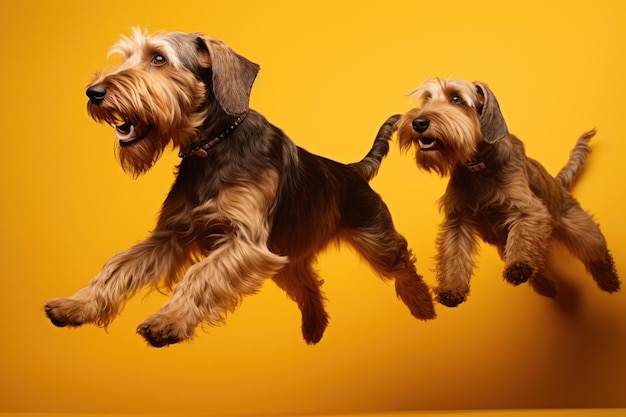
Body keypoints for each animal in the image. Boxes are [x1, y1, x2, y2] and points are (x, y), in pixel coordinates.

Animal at [44, 29, 434, 346]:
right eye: (126, 57)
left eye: (158, 58)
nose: (93, 92)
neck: (213, 147)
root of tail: (353, 171)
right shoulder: (171, 234)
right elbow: (118, 266)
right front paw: (76, 305)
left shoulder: (244, 242)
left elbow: (199, 275)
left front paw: (168, 320)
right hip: (287, 258)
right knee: (309, 285)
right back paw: (314, 329)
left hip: (375, 239)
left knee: (402, 263)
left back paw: (424, 306)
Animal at [394, 77, 620, 306]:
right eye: (426, 99)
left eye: (456, 98)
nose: (418, 123)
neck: (478, 168)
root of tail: (557, 184)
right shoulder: (458, 219)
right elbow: (454, 254)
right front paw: (452, 289)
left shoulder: (527, 209)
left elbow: (520, 239)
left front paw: (518, 265)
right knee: (538, 263)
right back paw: (546, 286)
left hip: (580, 229)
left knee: (597, 253)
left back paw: (609, 281)